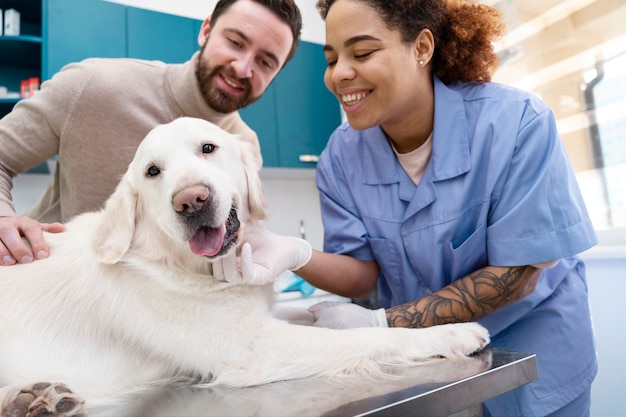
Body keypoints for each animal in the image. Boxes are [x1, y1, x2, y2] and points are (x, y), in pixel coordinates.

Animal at [0, 118, 488, 416]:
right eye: (153, 171)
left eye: (208, 148)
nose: (191, 200)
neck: (175, 262)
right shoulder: (251, 345)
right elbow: (369, 338)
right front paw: (451, 333)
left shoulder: (261, 308)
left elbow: (318, 312)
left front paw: (340, 311)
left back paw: (38, 398)